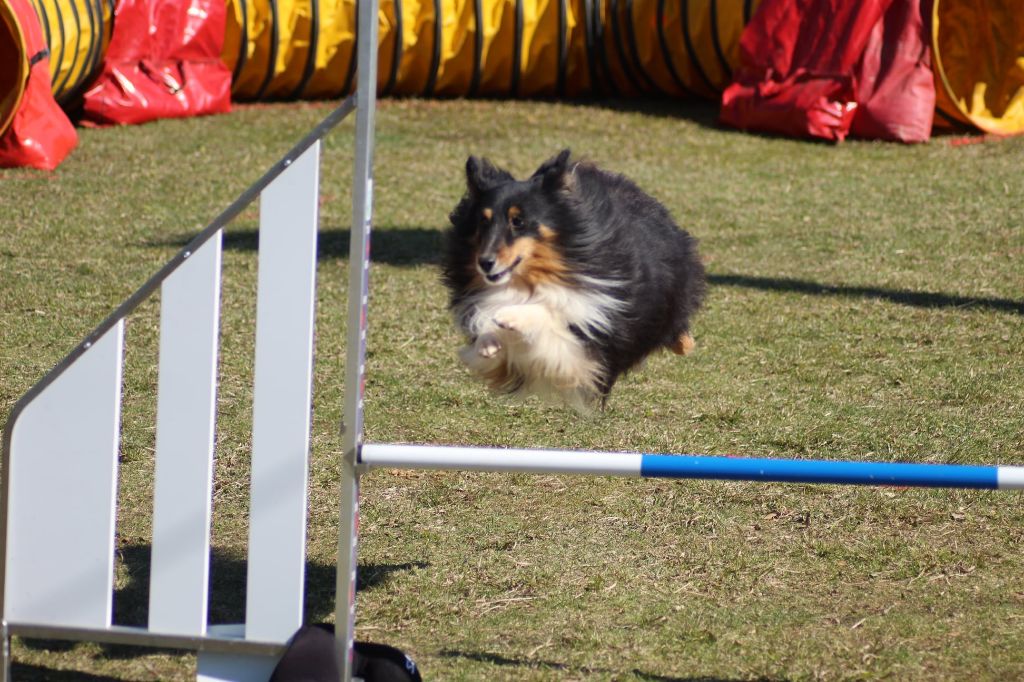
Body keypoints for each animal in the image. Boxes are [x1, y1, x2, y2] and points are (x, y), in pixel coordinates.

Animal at [440, 150, 704, 409]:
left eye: (518, 221)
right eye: (483, 221)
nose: (485, 263)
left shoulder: (583, 350)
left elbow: (552, 312)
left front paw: (510, 316)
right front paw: (489, 338)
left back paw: (684, 342)